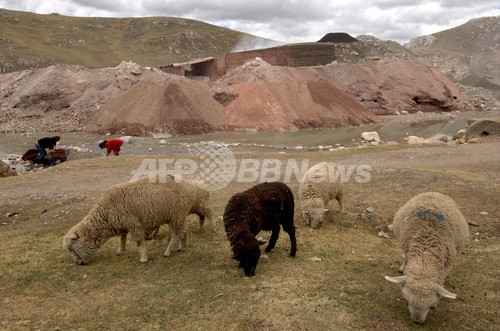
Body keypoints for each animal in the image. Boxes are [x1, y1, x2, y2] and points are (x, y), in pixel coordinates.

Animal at [62, 180, 213, 266]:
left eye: (72, 248)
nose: (78, 263)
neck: (106, 214)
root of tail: (190, 185)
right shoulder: (123, 224)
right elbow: (122, 238)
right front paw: (121, 250)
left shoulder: (133, 223)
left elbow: (139, 242)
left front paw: (144, 258)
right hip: (178, 216)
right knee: (184, 230)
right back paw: (183, 246)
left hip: (177, 215)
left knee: (178, 233)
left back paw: (168, 251)